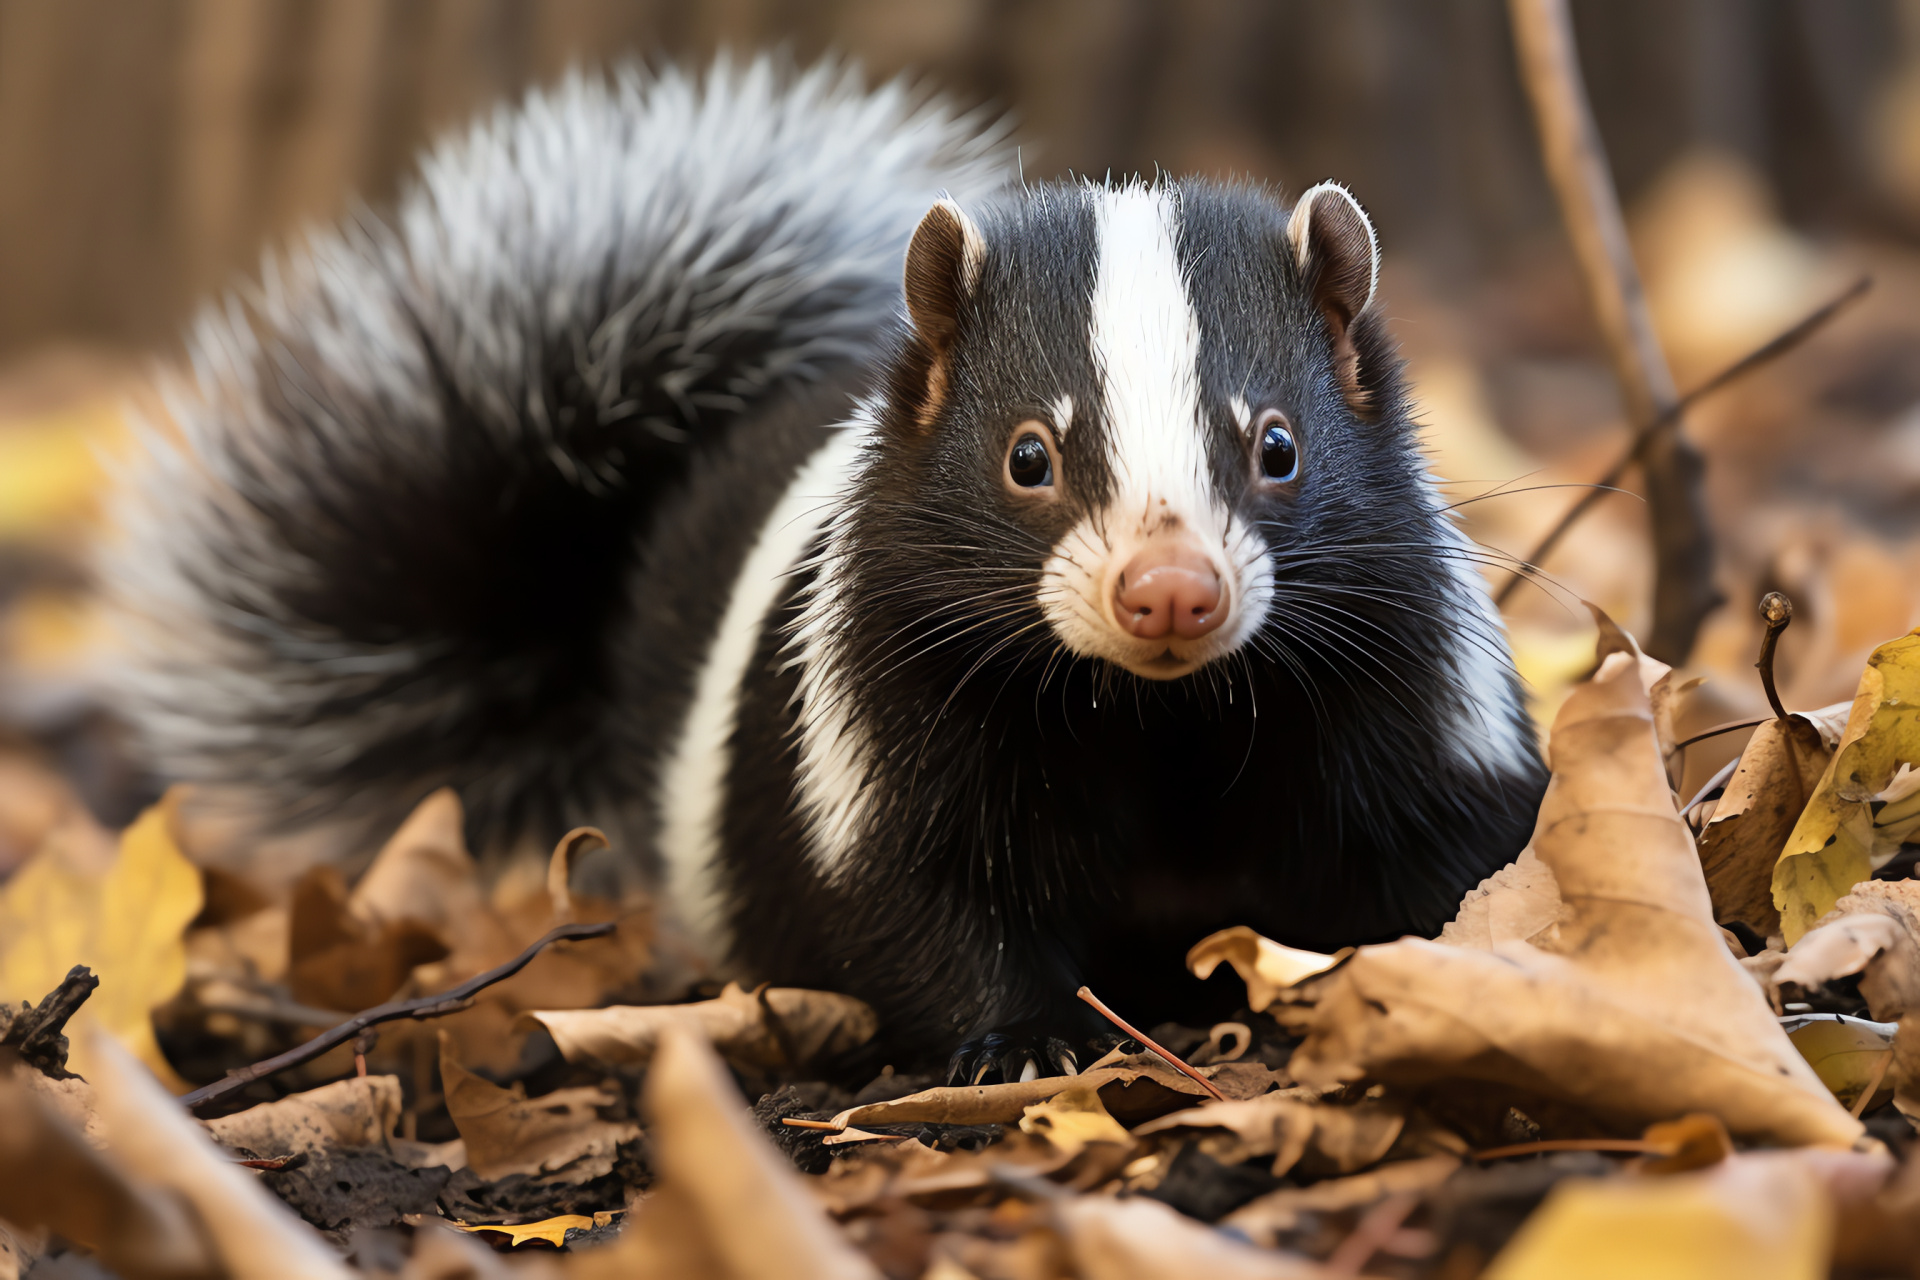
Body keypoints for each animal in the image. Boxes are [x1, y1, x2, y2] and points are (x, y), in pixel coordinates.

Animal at [108, 57, 1543, 1082]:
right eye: (1029, 456)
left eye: (1278, 445)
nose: (1169, 590)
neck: (1156, 712)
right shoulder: (896, 686)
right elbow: (915, 882)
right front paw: (1024, 1043)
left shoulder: (1387, 660)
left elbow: (1442, 852)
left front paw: (1428, 978)